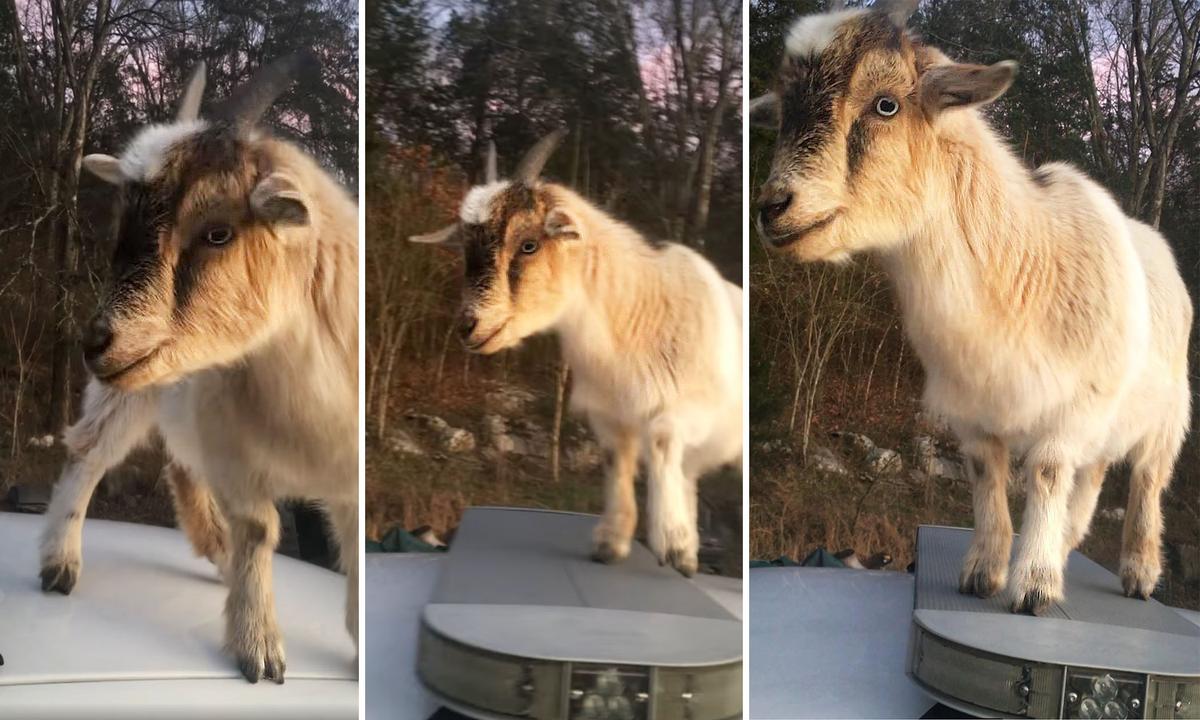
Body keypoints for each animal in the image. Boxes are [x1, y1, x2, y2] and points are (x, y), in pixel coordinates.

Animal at [38, 56, 359, 682]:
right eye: (121, 228)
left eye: (217, 232)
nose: (96, 341)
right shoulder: (238, 459)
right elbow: (260, 530)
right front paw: (258, 647)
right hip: (126, 394)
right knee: (88, 453)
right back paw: (60, 562)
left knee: (180, 465)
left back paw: (216, 551)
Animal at [411, 131, 743, 576]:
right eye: (466, 249)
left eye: (529, 244)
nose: (469, 326)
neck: (637, 313)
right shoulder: (610, 418)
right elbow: (617, 463)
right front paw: (612, 543)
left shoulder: (693, 408)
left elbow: (660, 437)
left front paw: (669, 542)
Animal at [751, 0, 1191, 614]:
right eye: (784, 111)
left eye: (886, 104)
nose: (774, 208)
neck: (1019, 266)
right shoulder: (973, 409)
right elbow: (986, 475)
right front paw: (983, 571)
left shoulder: (1072, 406)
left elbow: (1047, 473)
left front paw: (1033, 586)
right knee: (1096, 471)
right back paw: (1069, 540)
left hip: (1167, 416)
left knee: (1148, 481)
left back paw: (1139, 573)